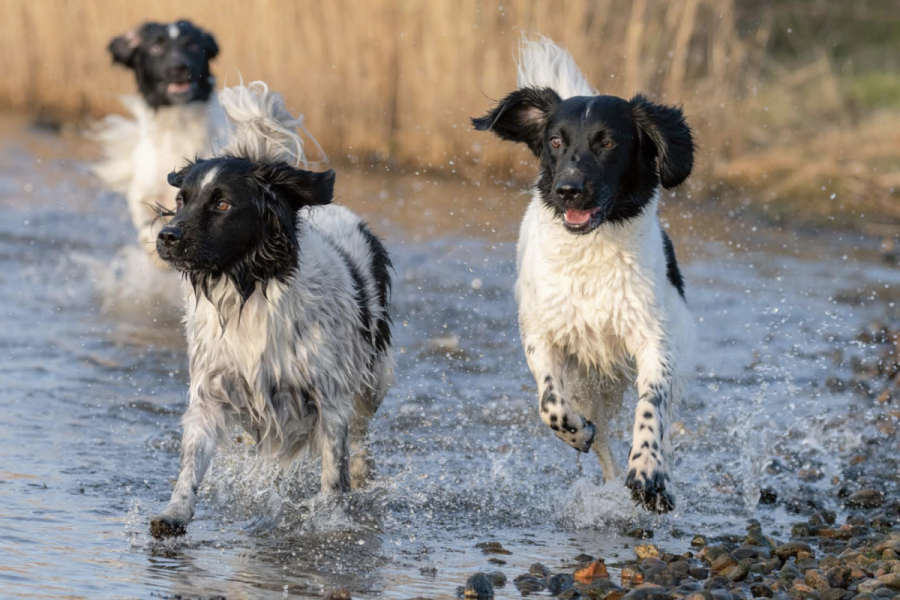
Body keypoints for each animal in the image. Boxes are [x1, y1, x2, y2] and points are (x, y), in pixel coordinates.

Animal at [93, 20, 227, 270]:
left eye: (192, 45)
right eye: (157, 48)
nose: (179, 66)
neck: (178, 129)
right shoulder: (143, 193)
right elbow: (147, 220)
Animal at [149, 82, 392, 536]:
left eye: (222, 204)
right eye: (181, 198)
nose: (167, 236)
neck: (250, 290)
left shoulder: (329, 395)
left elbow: (334, 469)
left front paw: (331, 517)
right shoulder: (212, 390)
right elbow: (191, 463)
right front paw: (174, 512)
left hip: (374, 377)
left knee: (362, 431)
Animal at [472, 37, 696, 512]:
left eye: (607, 142)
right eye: (555, 141)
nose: (568, 190)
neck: (591, 252)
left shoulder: (655, 340)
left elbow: (651, 406)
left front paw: (648, 472)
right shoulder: (542, 335)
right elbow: (550, 405)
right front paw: (576, 433)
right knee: (603, 439)